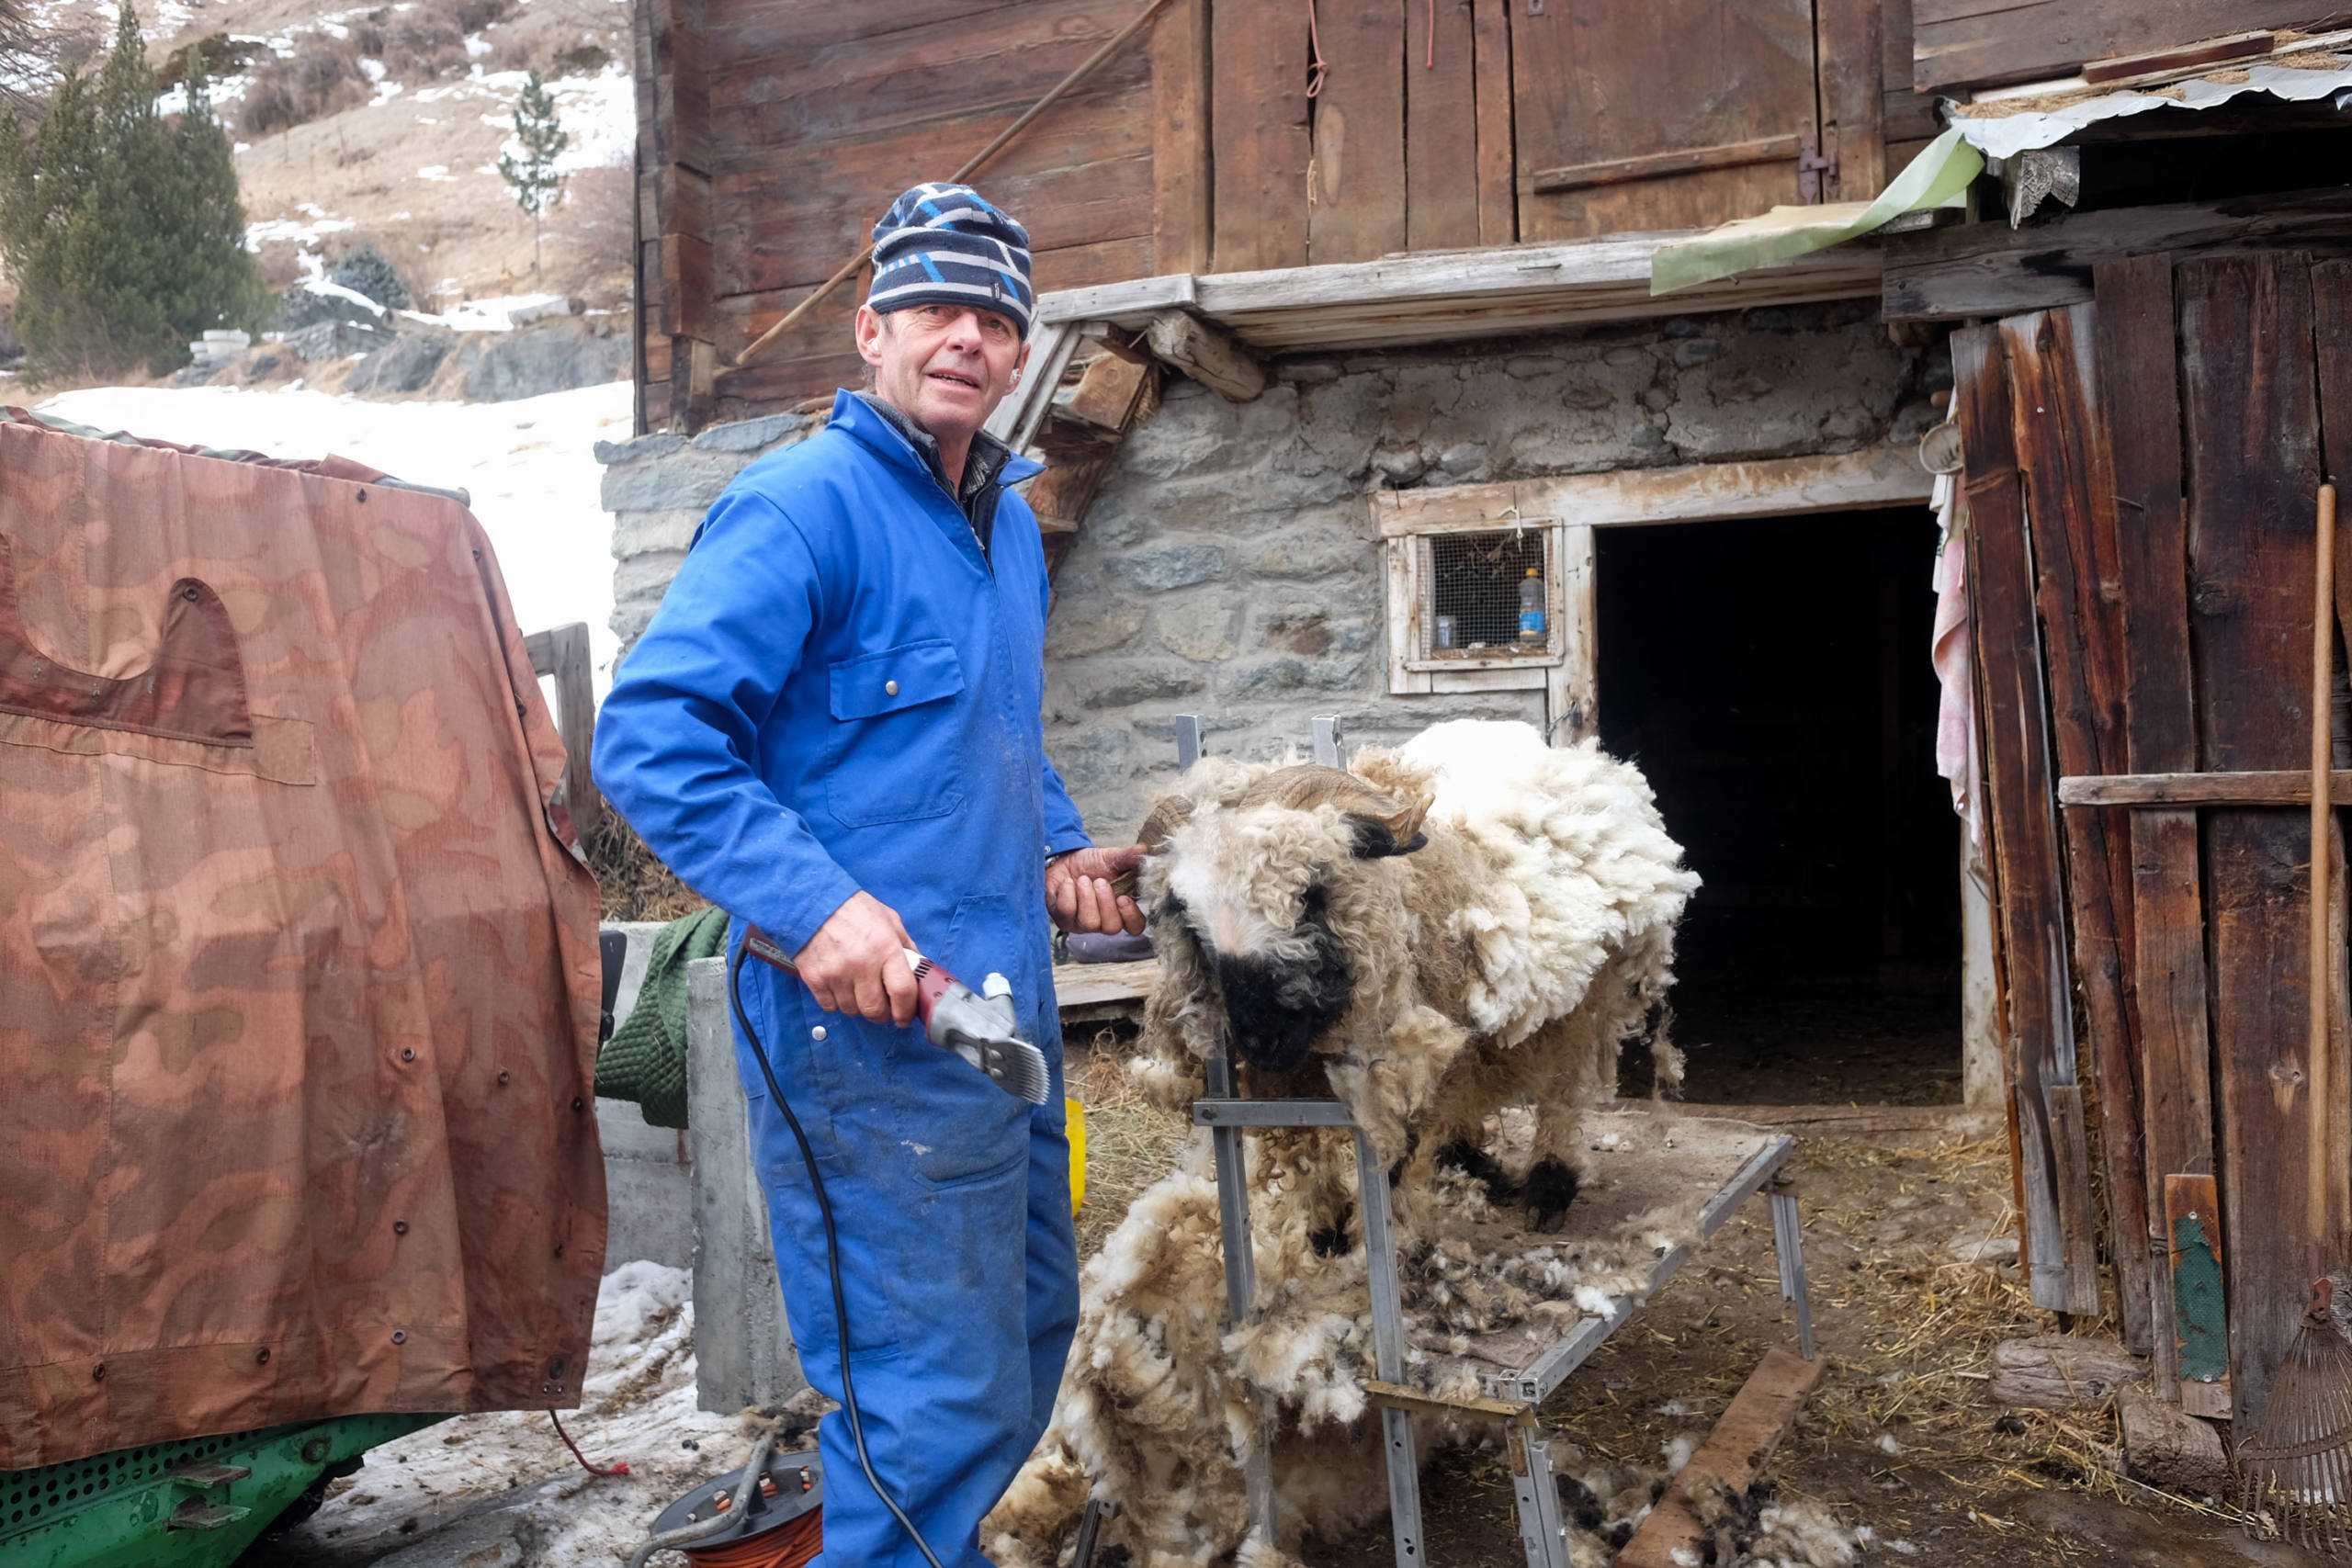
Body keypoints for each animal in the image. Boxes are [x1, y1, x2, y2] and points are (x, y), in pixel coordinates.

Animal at [983, 724, 1702, 1568]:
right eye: (1187, 915)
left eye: (1312, 892)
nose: (1256, 1036)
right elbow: (1317, 1166)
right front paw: (1327, 1232)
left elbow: (1389, 1161)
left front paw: (1370, 1234)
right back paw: (1471, 1160)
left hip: (1588, 993)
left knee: (1563, 1082)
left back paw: (1549, 1183)